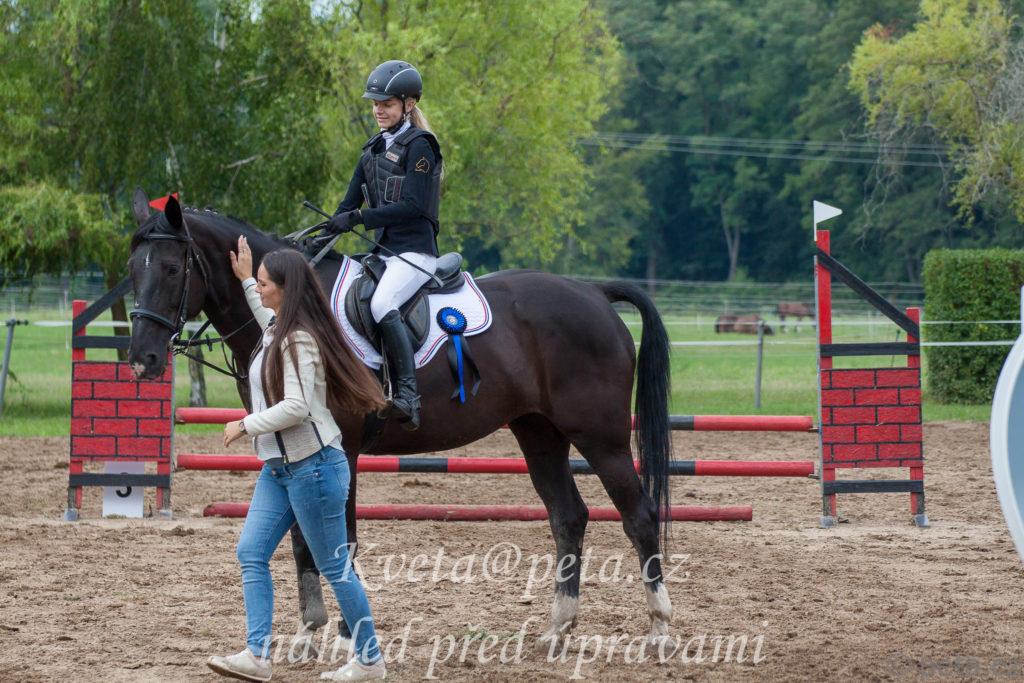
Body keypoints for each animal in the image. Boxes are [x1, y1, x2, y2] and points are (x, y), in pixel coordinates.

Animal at [126, 191, 675, 647]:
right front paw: (308, 634)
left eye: (172, 268)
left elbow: (339, 539)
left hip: (600, 437)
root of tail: (594, 293)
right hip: (539, 433)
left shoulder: (340, 447)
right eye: (133, 269)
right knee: (568, 516)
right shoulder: (292, 443)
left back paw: (659, 629)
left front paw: (347, 636)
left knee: (638, 516)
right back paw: (558, 629)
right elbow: (304, 540)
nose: (143, 360)